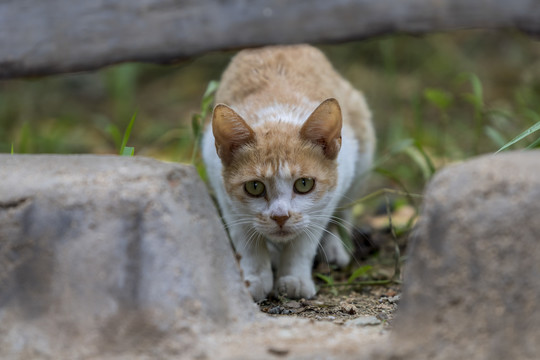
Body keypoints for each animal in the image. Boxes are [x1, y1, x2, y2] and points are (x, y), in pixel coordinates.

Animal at [200, 44, 374, 300]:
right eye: (254, 187)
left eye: (304, 184)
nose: (280, 217)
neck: (278, 113)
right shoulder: (223, 190)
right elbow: (246, 240)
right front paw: (254, 279)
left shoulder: (332, 190)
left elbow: (304, 242)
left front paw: (294, 278)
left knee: (344, 215)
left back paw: (334, 249)